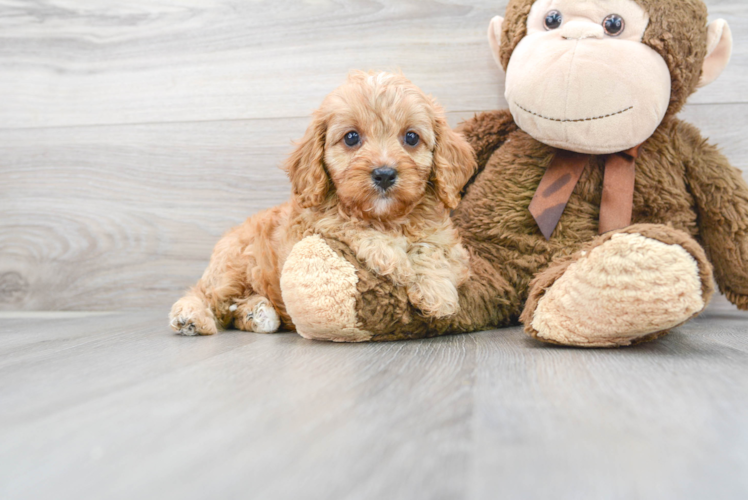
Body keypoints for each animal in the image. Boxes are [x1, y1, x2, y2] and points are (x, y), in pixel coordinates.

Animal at [169, 70, 474, 336]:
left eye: (411, 137)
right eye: (351, 137)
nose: (385, 174)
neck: (386, 217)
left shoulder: (449, 242)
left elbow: (431, 249)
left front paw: (437, 293)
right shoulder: (312, 223)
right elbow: (346, 223)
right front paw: (394, 259)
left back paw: (257, 314)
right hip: (233, 267)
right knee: (206, 295)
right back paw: (191, 316)